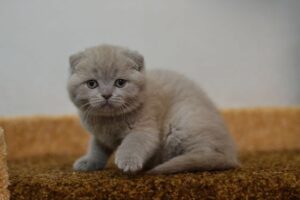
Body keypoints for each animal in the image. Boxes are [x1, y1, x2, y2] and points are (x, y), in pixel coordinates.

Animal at [67, 44, 239, 174]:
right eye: (92, 84)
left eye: (120, 83)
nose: (106, 94)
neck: (109, 121)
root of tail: (231, 154)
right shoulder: (101, 136)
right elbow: (96, 148)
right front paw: (88, 162)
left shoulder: (144, 127)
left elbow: (134, 142)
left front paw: (128, 161)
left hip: (181, 122)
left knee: (208, 154)